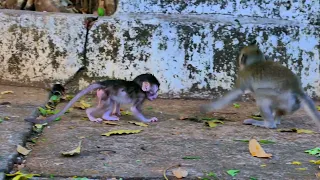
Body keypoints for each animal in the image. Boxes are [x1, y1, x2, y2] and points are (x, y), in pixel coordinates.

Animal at [24, 73, 160, 124]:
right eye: (155, 92)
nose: (156, 97)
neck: (140, 87)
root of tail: (103, 83)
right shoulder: (141, 96)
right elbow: (134, 109)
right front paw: (148, 120)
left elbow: (118, 102)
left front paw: (117, 112)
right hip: (105, 94)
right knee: (107, 104)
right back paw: (92, 116)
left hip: (103, 93)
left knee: (112, 101)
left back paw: (108, 116)